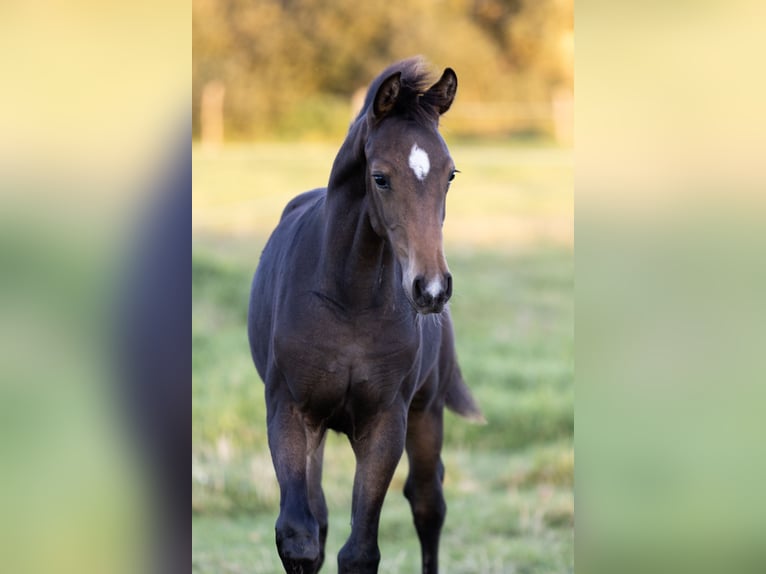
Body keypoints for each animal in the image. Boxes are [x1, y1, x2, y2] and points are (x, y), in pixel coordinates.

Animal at [248, 58, 482, 574]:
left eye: (450, 174)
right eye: (380, 177)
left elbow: (360, 551)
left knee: (428, 504)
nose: (431, 289)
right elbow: (300, 537)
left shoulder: (385, 420)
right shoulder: (289, 410)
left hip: (427, 411)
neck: (349, 298)